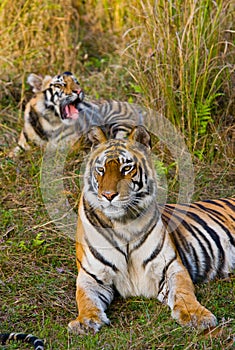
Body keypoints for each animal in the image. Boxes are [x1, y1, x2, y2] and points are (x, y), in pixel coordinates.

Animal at [9, 72, 146, 157]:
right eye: (59, 85)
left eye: (76, 82)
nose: (79, 91)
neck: (50, 123)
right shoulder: (21, 145)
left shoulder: (67, 148)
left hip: (120, 123)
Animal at [67, 125, 234, 334]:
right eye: (101, 169)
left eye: (126, 168)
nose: (108, 195)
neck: (123, 224)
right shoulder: (91, 276)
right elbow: (85, 299)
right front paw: (85, 321)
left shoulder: (171, 267)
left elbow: (184, 293)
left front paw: (198, 316)